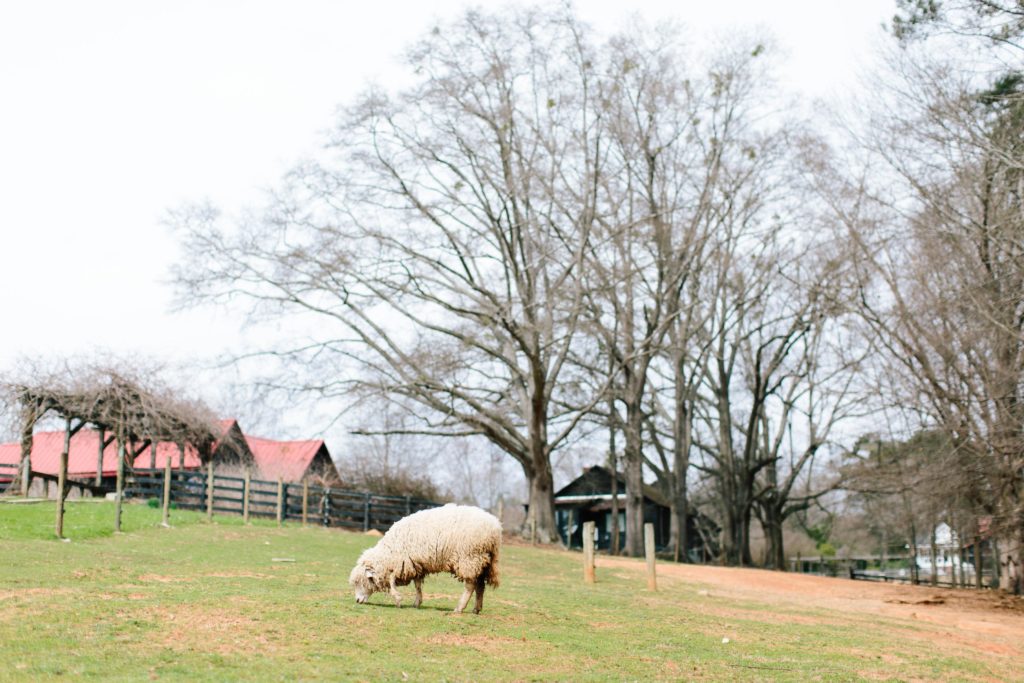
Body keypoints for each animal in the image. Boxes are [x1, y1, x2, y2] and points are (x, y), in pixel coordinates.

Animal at [346, 501, 501, 614]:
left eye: (361, 582)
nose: (357, 600)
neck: (389, 553)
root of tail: (495, 527)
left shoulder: (407, 563)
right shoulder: (415, 563)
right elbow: (418, 585)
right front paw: (417, 603)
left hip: (469, 558)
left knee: (470, 585)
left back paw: (459, 608)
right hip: (482, 560)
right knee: (480, 585)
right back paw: (476, 609)